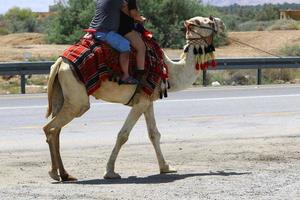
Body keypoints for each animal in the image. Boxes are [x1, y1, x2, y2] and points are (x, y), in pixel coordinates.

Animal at [42, 16, 225, 181]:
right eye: (205, 21)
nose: (221, 22)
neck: (169, 70)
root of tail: (59, 63)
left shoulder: (147, 101)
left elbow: (154, 134)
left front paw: (166, 167)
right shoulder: (141, 102)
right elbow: (123, 135)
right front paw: (110, 172)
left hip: (62, 94)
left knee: (56, 129)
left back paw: (64, 174)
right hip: (77, 100)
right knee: (51, 128)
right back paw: (56, 173)